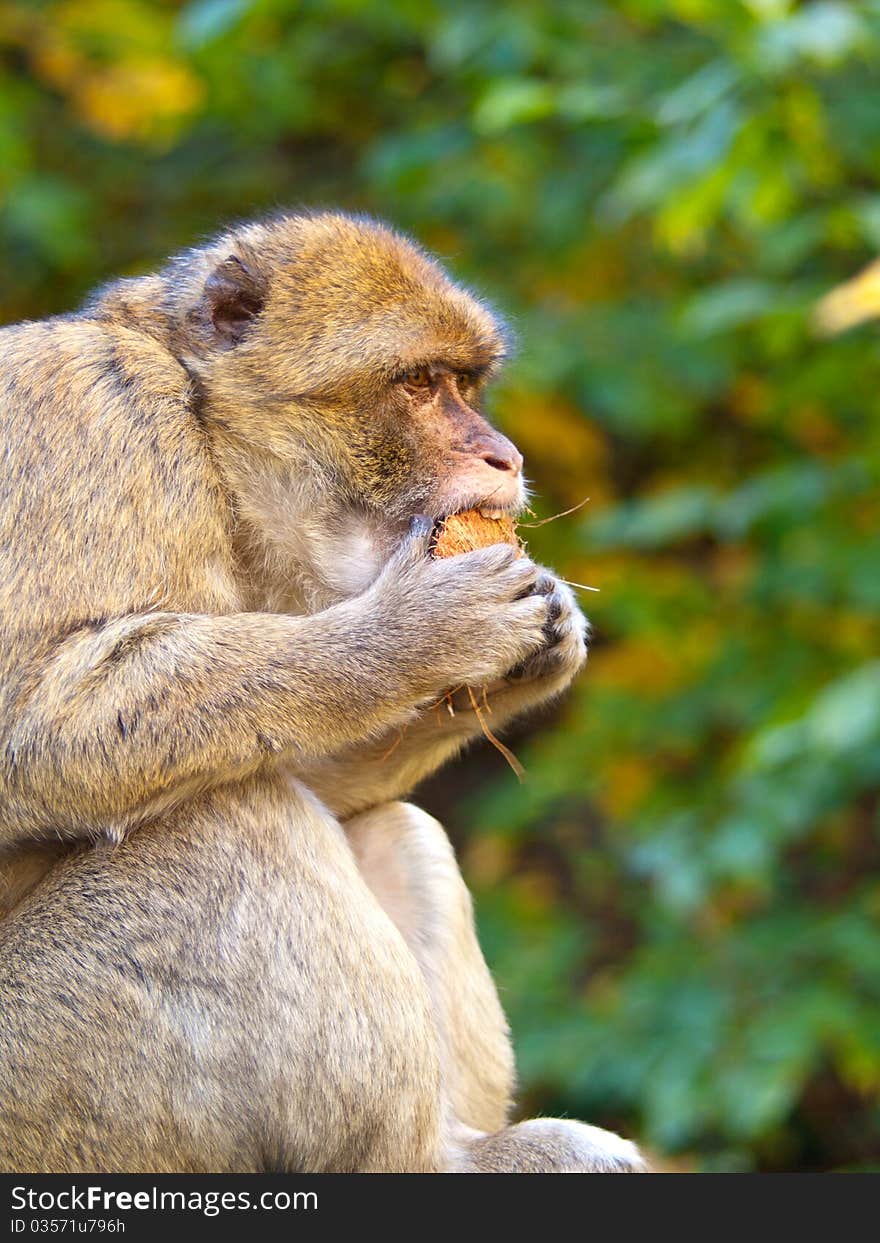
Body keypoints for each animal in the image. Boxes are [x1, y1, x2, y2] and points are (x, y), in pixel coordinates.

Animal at [0, 208, 646, 1168]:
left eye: (464, 383)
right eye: (418, 384)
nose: (504, 455)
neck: (203, 444)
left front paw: (541, 639)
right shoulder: (87, 409)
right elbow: (42, 726)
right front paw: (416, 631)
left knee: (386, 826)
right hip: (55, 1092)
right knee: (230, 825)